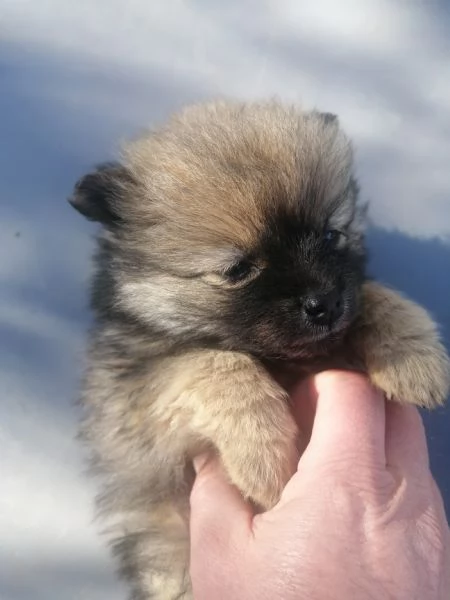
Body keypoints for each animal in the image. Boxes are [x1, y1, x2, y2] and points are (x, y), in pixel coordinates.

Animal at [68, 101, 448, 596]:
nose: (325, 302)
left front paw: (414, 355)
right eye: (238, 270)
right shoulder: (138, 409)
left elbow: (371, 294)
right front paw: (263, 455)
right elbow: (210, 362)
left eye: (332, 236)